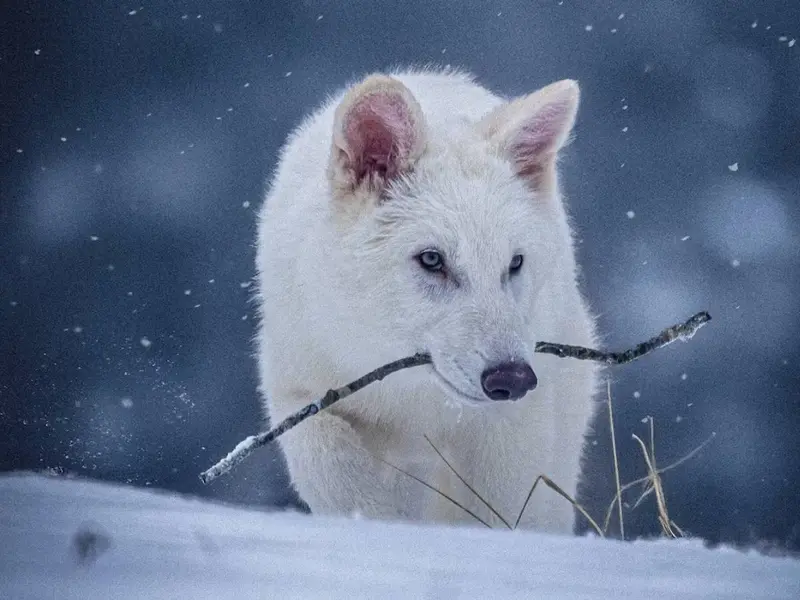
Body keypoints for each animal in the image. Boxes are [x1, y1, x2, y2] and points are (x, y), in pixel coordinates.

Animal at [255, 67, 599, 533]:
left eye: (514, 263)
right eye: (432, 259)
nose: (512, 378)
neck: (412, 397)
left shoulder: (511, 429)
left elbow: (499, 512)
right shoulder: (298, 391)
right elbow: (336, 470)